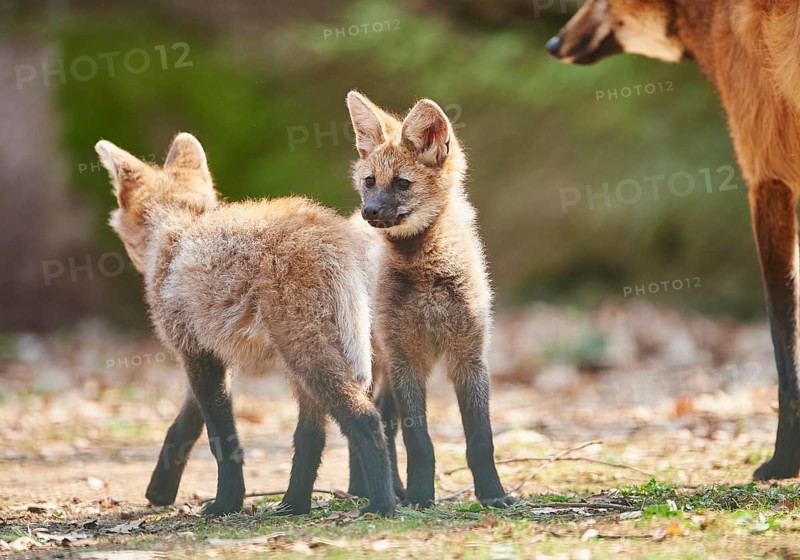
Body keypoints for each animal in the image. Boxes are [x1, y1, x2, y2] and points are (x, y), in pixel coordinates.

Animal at [95, 133, 395, 516]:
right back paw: (294, 504)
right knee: (312, 435)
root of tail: (335, 234)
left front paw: (226, 502)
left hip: (307, 353)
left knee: (366, 419)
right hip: (310, 357)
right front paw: (161, 489)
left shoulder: (195, 352)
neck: (178, 229)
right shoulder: (215, 356)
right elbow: (185, 425)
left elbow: (222, 440)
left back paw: (382, 505)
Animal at [344, 91, 513, 508]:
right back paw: (366, 490)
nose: (369, 210)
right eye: (370, 182)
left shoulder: (469, 357)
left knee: (383, 420)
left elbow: (481, 441)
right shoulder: (407, 360)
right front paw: (421, 496)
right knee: (375, 422)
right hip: (377, 361)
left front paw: (493, 494)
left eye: (402, 183)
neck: (428, 277)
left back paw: (390, 489)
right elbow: (419, 443)